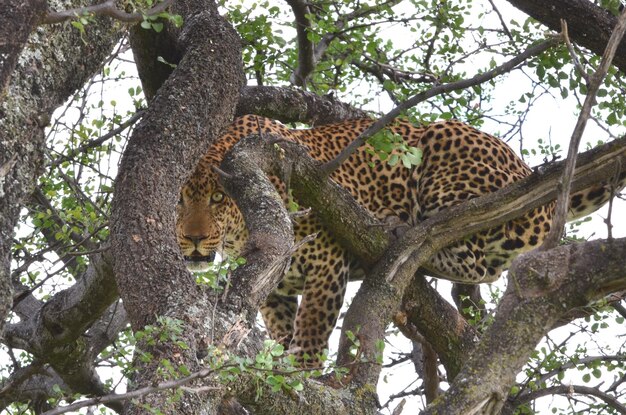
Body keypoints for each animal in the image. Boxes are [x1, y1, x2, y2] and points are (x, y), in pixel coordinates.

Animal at [177, 114, 624, 368]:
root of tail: (528, 170)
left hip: (445, 157)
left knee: (461, 251)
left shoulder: (327, 263)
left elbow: (311, 333)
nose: (193, 239)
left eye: (218, 198)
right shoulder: (275, 286)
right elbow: (282, 329)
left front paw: (302, 376)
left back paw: (396, 234)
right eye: (179, 198)